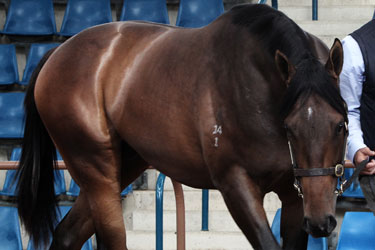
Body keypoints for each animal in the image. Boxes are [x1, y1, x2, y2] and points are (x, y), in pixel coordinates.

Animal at [16, 3, 346, 250]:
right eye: (289, 128)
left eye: (341, 125)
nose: (322, 222)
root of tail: (57, 53)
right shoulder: (235, 184)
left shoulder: (294, 196)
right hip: (96, 171)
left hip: (122, 166)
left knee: (67, 234)